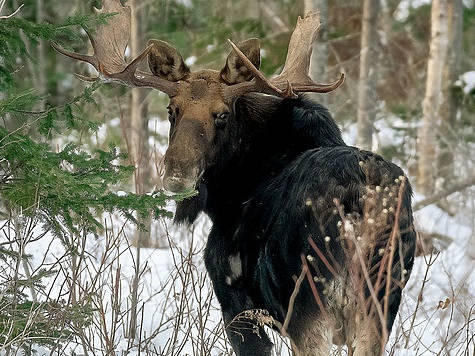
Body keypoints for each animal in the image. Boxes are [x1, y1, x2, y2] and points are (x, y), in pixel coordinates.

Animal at [54, 1, 416, 354]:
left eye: (222, 115)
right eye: (172, 110)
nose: (177, 174)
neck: (227, 197)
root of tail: (357, 205)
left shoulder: (232, 298)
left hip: (307, 303)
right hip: (381, 303)